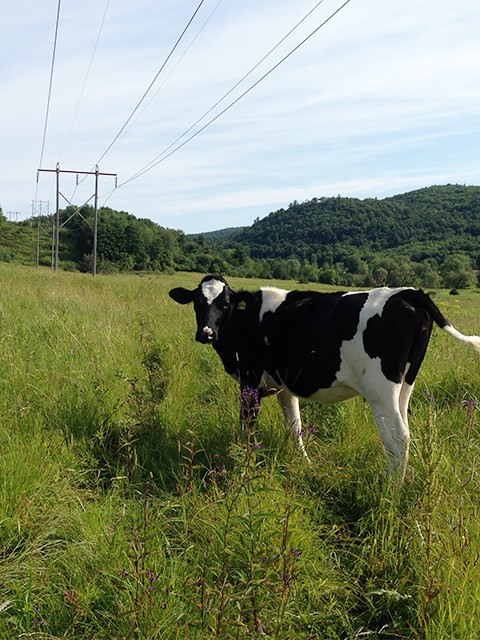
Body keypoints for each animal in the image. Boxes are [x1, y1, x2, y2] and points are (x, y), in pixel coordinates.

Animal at [170, 274, 480, 480]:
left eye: (225, 304)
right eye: (197, 302)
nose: (206, 333)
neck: (246, 322)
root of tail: (407, 292)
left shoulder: (250, 382)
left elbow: (248, 430)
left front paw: (245, 465)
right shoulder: (284, 387)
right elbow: (294, 426)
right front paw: (304, 463)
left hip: (380, 391)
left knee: (398, 439)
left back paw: (391, 490)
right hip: (405, 384)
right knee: (405, 431)